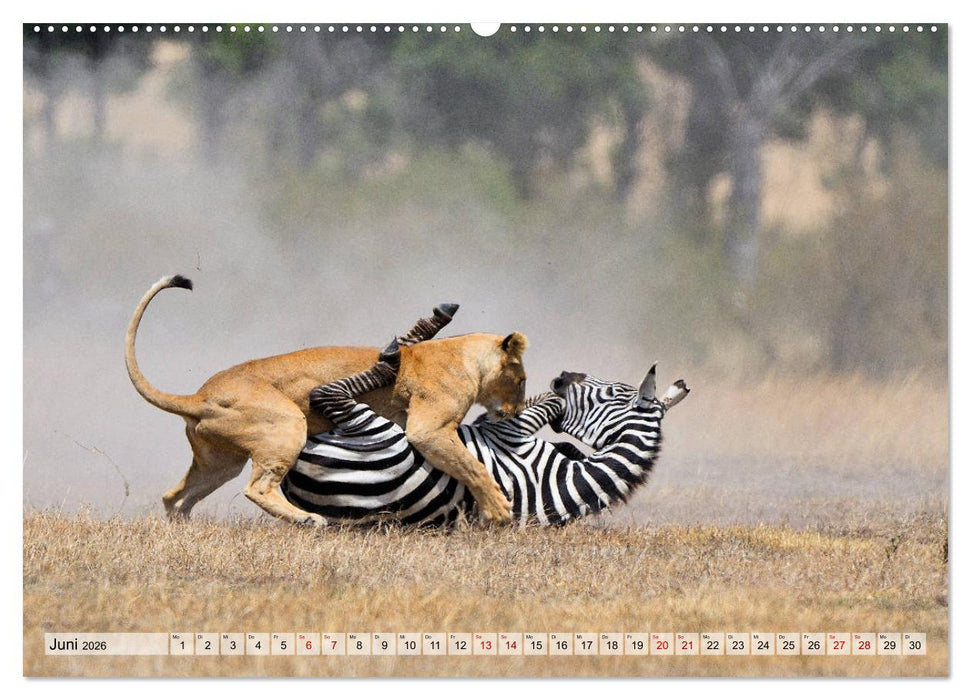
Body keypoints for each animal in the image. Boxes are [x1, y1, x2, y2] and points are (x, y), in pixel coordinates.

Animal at [124, 275, 528, 525]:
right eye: (522, 381)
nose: (517, 411)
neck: (465, 356)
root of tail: (198, 396)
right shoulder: (429, 429)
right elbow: (472, 467)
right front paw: (498, 510)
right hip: (287, 423)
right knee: (257, 488)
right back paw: (308, 519)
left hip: (220, 463)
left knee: (174, 496)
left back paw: (183, 528)